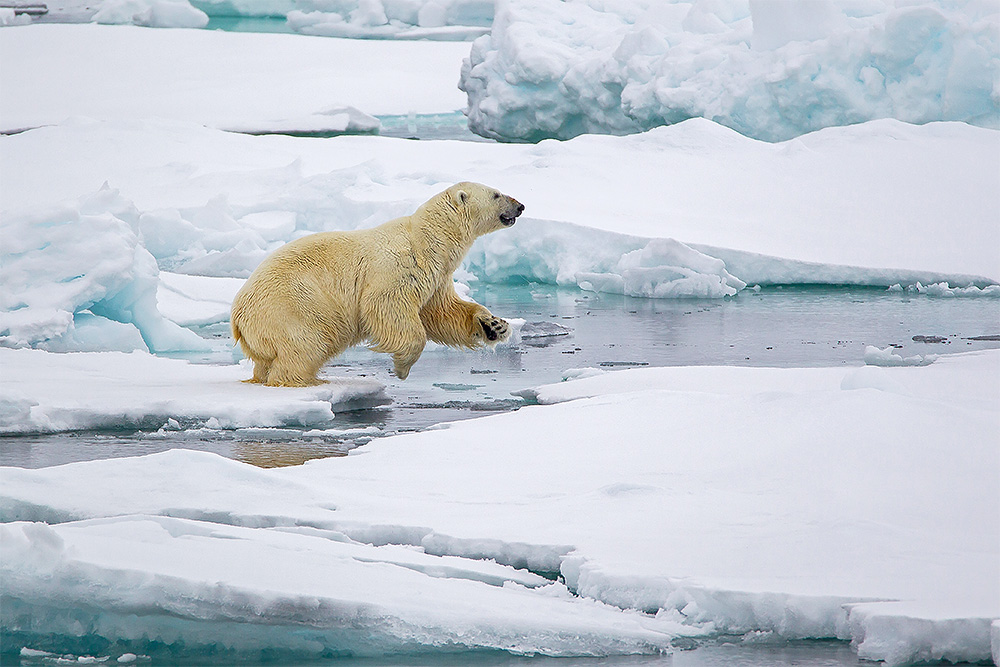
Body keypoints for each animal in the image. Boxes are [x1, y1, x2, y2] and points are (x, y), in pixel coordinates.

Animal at [228, 185, 524, 388]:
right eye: (496, 194)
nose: (520, 205)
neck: (429, 239)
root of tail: (238, 317)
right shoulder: (397, 266)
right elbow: (387, 306)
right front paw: (402, 368)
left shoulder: (437, 277)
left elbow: (444, 312)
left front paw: (495, 325)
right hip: (292, 309)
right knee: (304, 346)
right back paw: (307, 381)